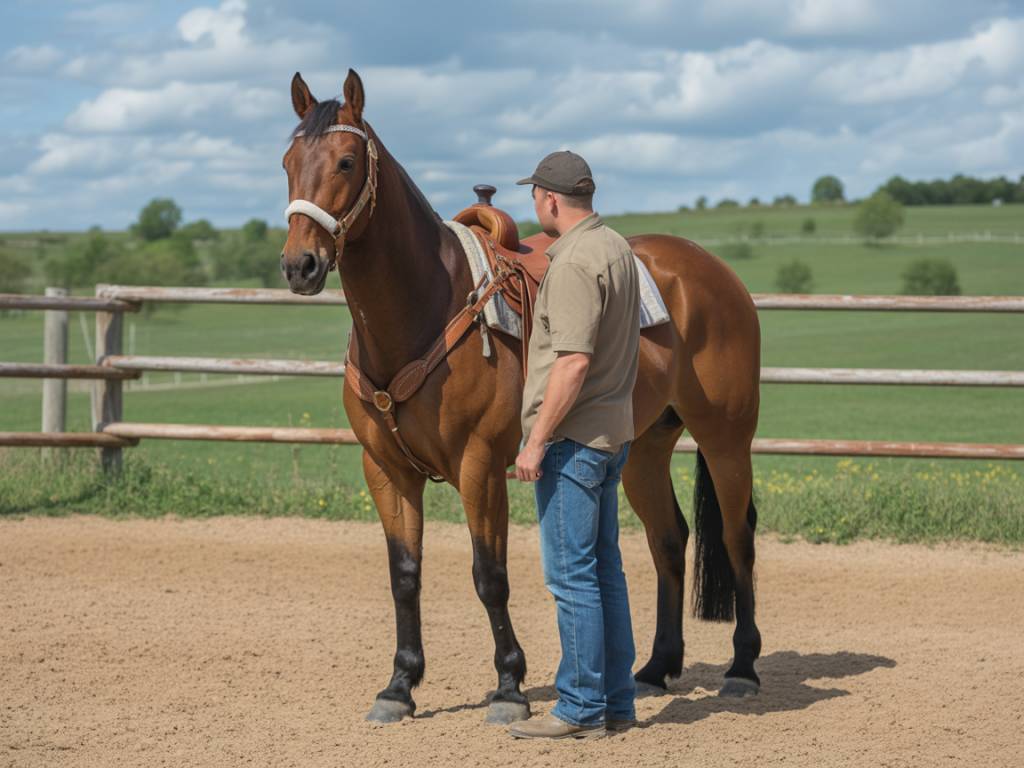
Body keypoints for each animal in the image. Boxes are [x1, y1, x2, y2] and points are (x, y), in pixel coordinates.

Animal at [280, 69, 762, 724]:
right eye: (287, 162)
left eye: (347, 161)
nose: (299, 264)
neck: (425, 308)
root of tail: (711, 270)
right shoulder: (384, 469)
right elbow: (404, 575)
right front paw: (400, 686)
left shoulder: (480, 465)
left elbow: (490, 575)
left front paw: (509, 686)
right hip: (643, 449)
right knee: (670, 539)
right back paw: (656, 668)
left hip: (726, 438)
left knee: (738, 538)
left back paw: (743, 667)